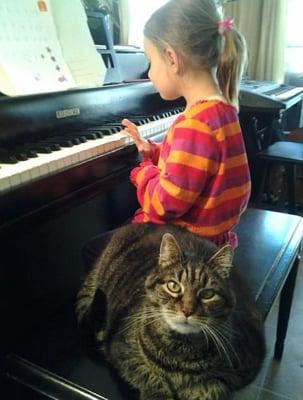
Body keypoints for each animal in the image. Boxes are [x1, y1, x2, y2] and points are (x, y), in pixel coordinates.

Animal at [76, 223, 266, 398]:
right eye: (173, 286)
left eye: (207, 294)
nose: (187, 310)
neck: (180, 352)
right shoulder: (121, 350)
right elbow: (150, 378)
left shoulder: (245, 367)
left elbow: (211, 387)